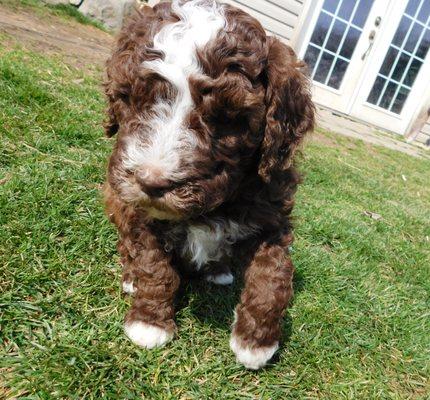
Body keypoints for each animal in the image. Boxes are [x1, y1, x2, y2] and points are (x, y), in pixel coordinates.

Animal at [102, 0, 314, 368]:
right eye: (128, 99)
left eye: (226, 118)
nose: (151, 182)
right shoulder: (143, 216)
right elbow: (154, 267)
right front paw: (149, 323)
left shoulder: (272, 219)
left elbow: (272, 277)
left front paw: (256, 343)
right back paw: (130, 278)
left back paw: (219, 270)